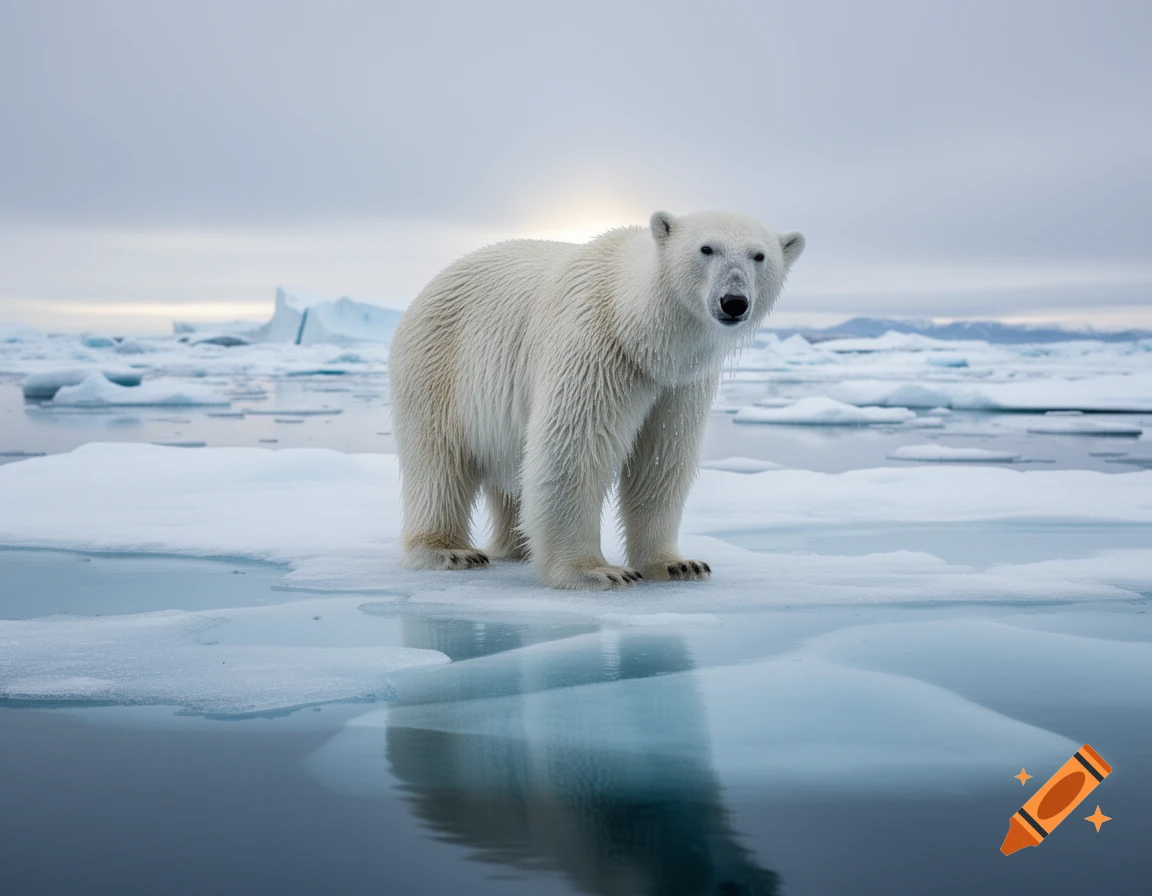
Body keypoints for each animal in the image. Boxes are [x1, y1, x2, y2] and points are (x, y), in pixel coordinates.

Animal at [388, 210, 805, 590]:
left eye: (759, 255)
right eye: (707, 248)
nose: (733, 301)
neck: (635, 324)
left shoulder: (679, 384)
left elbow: (661, 459)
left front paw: (678, 565)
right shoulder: (597, 347)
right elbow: (575, 446)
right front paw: (597, 571)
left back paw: (518, 546)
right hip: (440, 363)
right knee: (439, 459)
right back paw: (451, 551)